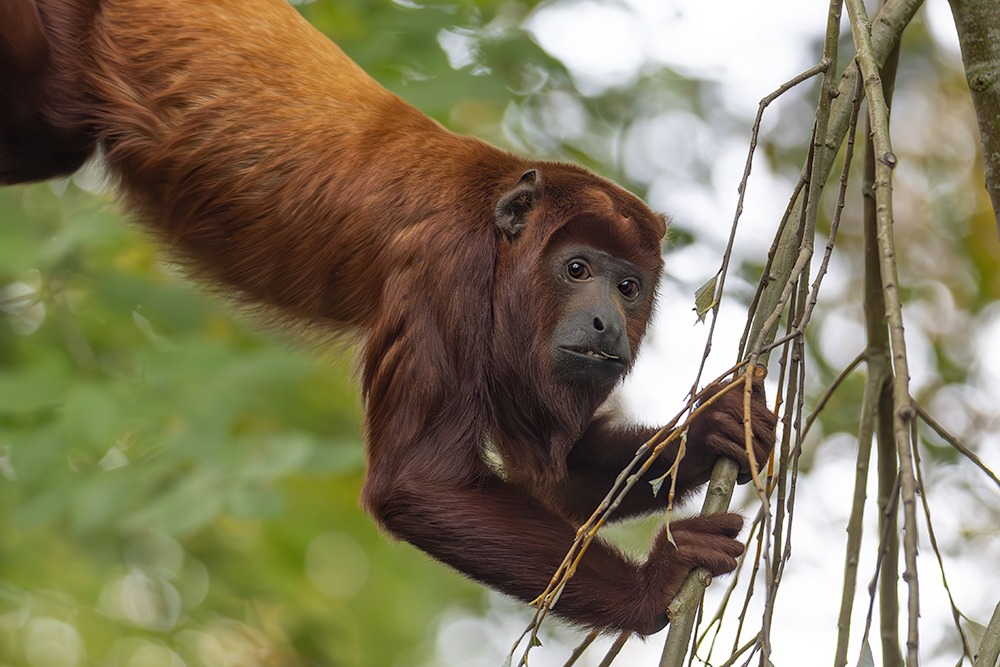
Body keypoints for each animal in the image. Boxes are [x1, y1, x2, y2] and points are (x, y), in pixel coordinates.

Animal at [0, 0, 772, 636]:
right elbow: (418, 483)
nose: (609, 322)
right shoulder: (445, 272)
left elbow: (559, 482)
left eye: (630, 286)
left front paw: (719, 425)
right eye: (577, 270)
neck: (500, 235)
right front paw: (658, 582)